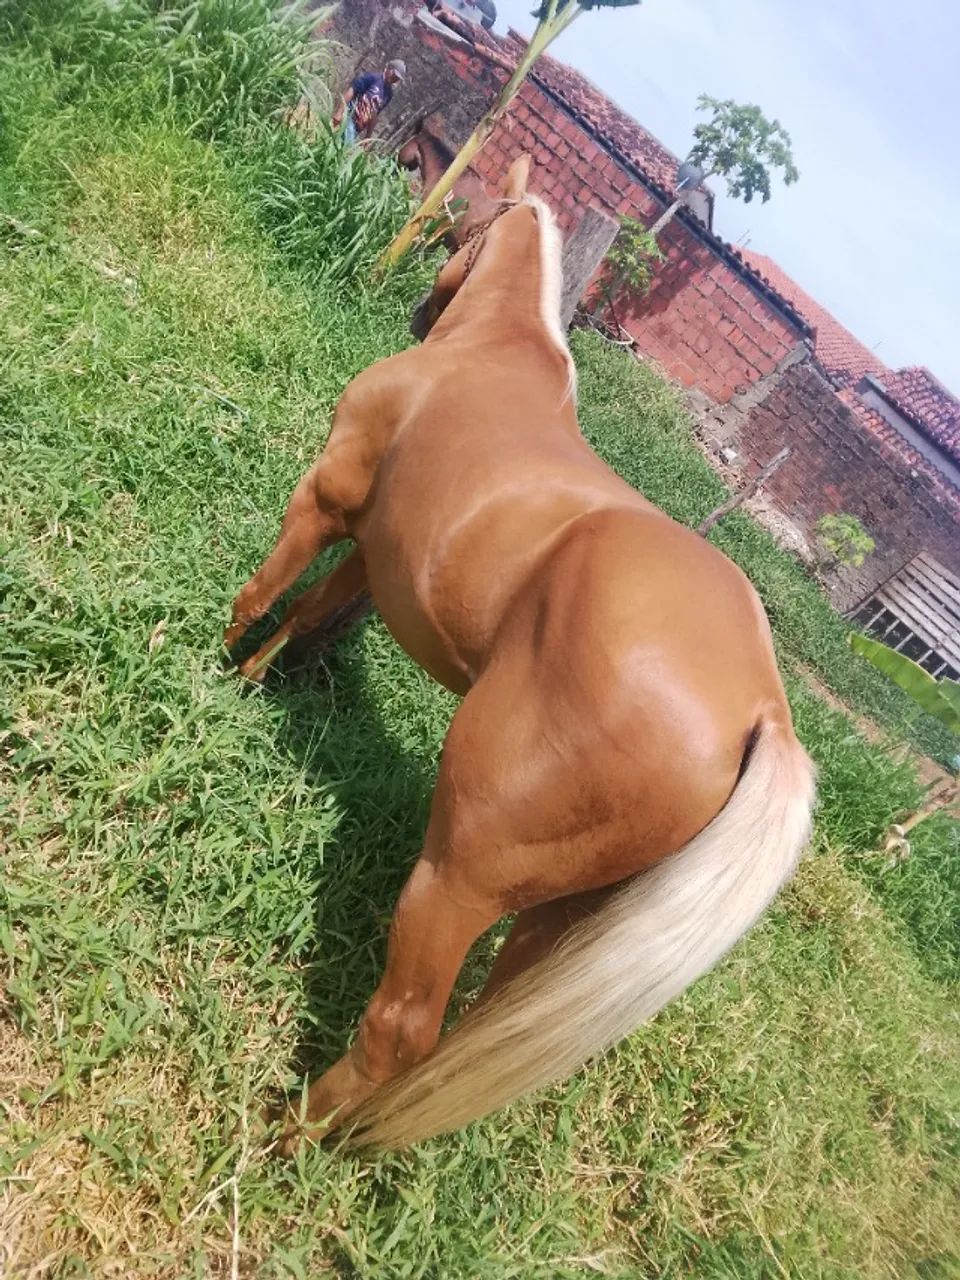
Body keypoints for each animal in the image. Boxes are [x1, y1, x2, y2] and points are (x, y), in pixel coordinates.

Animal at [224, 154, 816, 1152]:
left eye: (459, 222)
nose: (417, 308)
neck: (493, 354)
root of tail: (759, 712)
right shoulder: (377, 554)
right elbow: (307, 613)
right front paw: (258, 681)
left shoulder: (330, 495)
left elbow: (265, 591)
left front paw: (216, 667)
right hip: (558, 920)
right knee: (473, 1028)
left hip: (458, 878)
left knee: (404, 1029)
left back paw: (289, 1134)